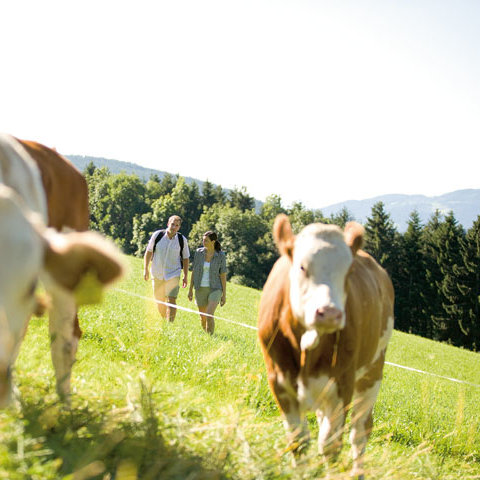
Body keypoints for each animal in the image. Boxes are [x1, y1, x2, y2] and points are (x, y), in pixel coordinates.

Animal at [258, 215, 394, 480]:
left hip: (373, 372)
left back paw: (358, 472)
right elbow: (298, 440)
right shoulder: (278, 380)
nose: (329, 312)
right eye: (302, 267)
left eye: (348, 271)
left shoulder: (343, 383)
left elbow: (331, 445)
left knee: (359, 431)